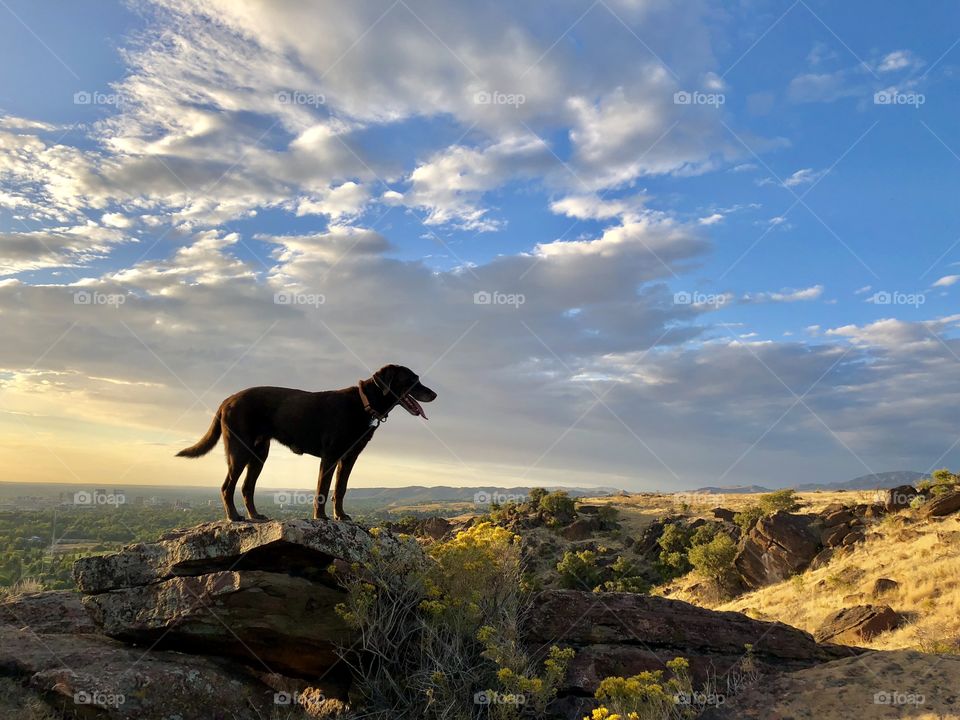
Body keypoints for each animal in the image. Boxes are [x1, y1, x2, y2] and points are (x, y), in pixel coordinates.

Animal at [174, 366, 436, 524]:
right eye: (412, 381)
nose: (435, 395)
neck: (363, 403)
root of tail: (226, 400)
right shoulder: (330, 457)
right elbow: (323, 490)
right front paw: (321, 517)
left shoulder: (348, 458)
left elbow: (340, 489)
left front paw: (340, 515)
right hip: (239, 451)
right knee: (226, 486)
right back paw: (234, 517)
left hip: (259, 454)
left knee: (247, 487)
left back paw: (255, 515)